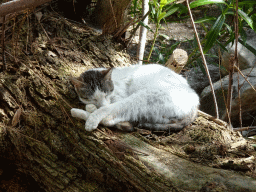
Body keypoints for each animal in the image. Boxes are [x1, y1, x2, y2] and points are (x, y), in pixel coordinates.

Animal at [70, 63, 200, 131]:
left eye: (106, 94)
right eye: (92, 98)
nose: (101, 104)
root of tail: (195, 104)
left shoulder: (119, 97)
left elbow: (107, 107)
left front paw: (94, 110)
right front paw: (91, 106)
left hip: (143, 97)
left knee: (111, 117)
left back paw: (84, 116)